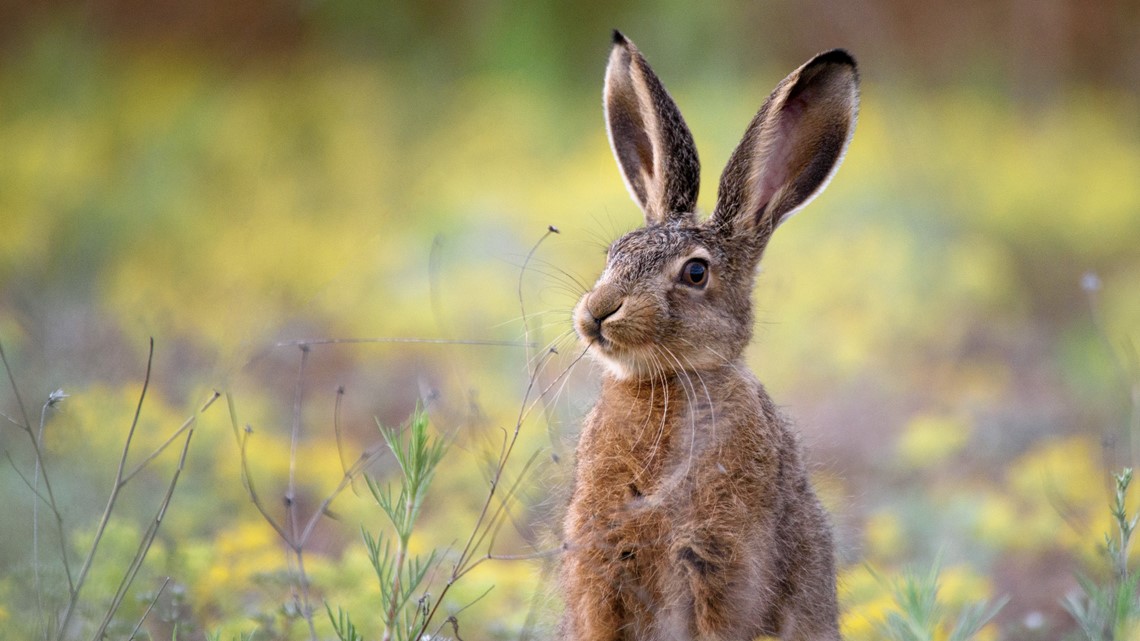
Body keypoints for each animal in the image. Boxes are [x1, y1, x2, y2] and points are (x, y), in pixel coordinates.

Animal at [559, 31, 859, 641]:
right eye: (613, 254)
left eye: (696, 273)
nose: (597, 312)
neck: (669, 384)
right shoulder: (598, 564)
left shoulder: (722, 562)